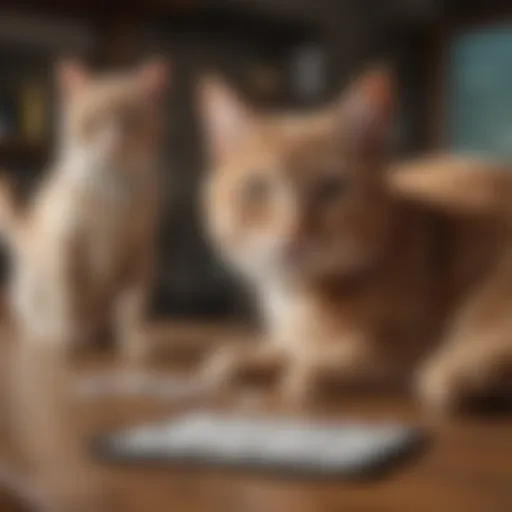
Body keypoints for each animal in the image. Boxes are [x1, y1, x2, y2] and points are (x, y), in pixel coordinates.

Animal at [2, 59, 169, 512]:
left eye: (130, 121)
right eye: (93, 122)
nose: (113, 143)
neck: (114, 192)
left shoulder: (140, 257)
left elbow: (132, 308)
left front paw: (135, 342)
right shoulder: (67, 249)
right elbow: (69, 299)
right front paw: (68, 340)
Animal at [198, 69, 512, 412]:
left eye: (331, 188)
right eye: (257, 189)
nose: (295, 232)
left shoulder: (410, 343)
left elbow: (350, 356)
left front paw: (311, 367)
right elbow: (281, 348)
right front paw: (251, 359)